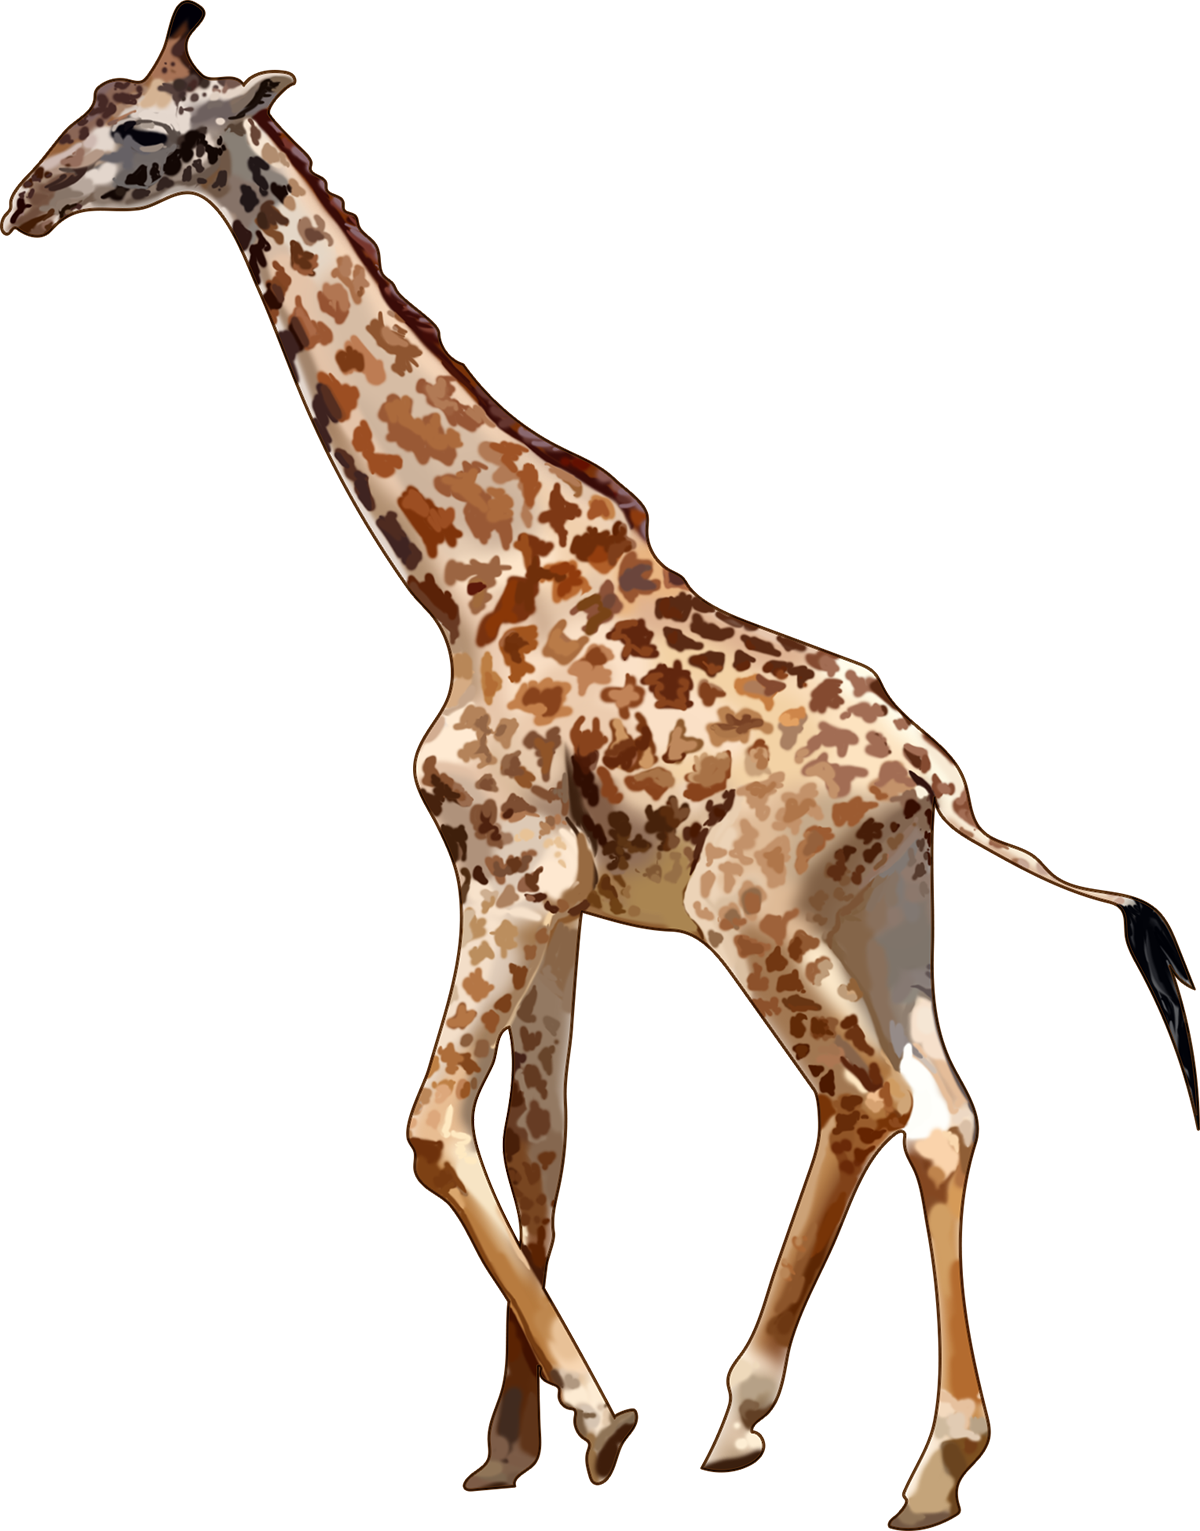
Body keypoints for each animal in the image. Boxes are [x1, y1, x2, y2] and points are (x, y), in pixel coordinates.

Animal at [6, 7, 1195, 1525]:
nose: (26, 196)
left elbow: (435, 1126)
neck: (461, 576)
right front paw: (511, 1444)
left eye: (148, 133)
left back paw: (746, 1406)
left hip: (757, 904)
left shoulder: (513, 870)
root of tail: (930, 769)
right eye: (89, 104)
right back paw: (940, 1457)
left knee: (863, 1093)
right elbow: (535, 1147)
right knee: (944, 1115)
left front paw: (592, 1410)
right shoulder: (556, 892)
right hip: (884, 900)